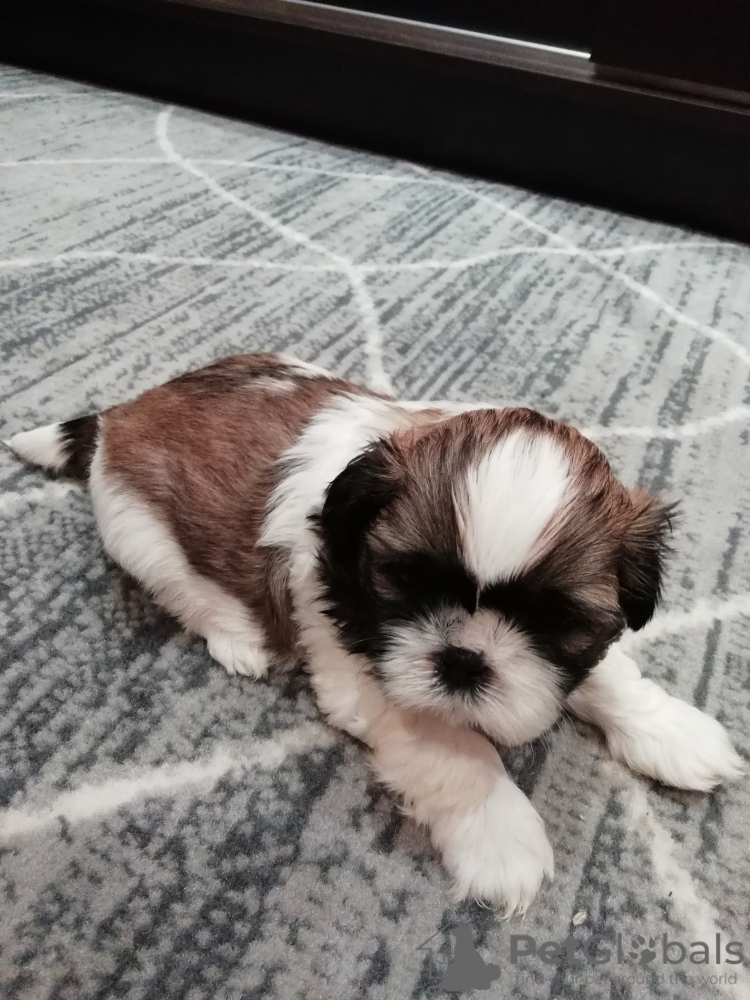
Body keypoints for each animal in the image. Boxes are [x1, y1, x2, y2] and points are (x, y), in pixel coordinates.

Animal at [7, 352, 743, 915]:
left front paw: (672, 730)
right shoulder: (359, 658)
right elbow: (450, 745)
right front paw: (501, 835)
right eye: (405, 580)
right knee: (185, 591)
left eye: (555, 621)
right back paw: (240, 639)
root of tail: (118, 417)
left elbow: (607, 674)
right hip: (139, 534)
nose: (464, 660)